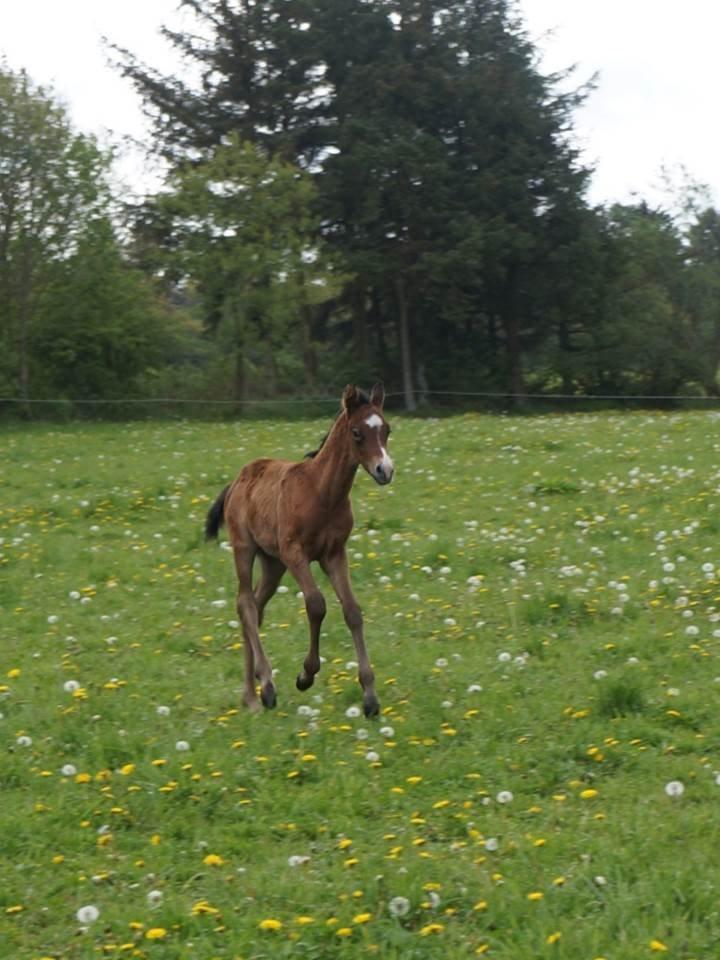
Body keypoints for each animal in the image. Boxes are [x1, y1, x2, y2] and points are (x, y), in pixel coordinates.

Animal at [204, 380, 394, 712]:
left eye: (387, 430)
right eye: (357, 432)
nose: (385, 469)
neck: (322, 492)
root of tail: (238, 480)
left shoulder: (334, 554)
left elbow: (352, 611)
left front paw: (370, 696)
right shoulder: (296, 553)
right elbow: (316, 605)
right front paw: (306, 675)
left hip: (273, 562)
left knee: (256, 607)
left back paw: (249, 695)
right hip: (245, 548)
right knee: (245, 604)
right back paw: (265, 686)